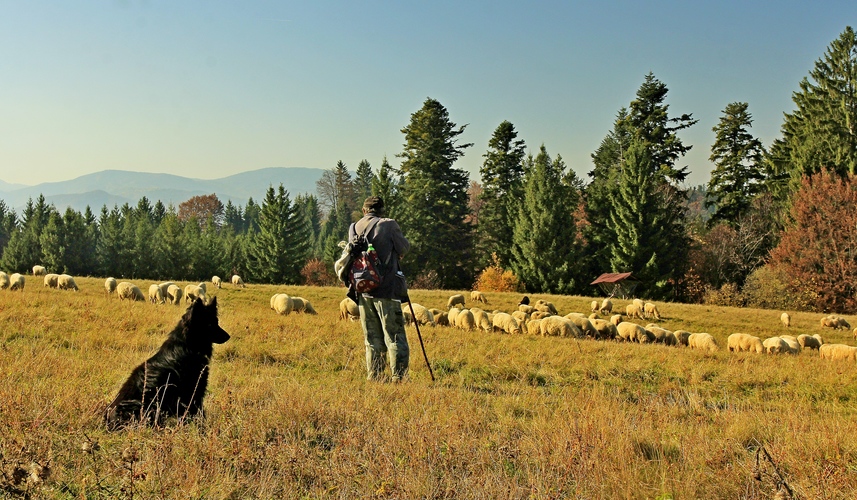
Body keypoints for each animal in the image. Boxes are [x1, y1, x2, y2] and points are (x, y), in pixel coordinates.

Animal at [104, 296, 231, 430]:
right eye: (210, 324)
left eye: (216, 322)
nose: (228, 336)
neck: (187, 345)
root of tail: (108, 419)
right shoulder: (192, 392)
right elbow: (197, 415)